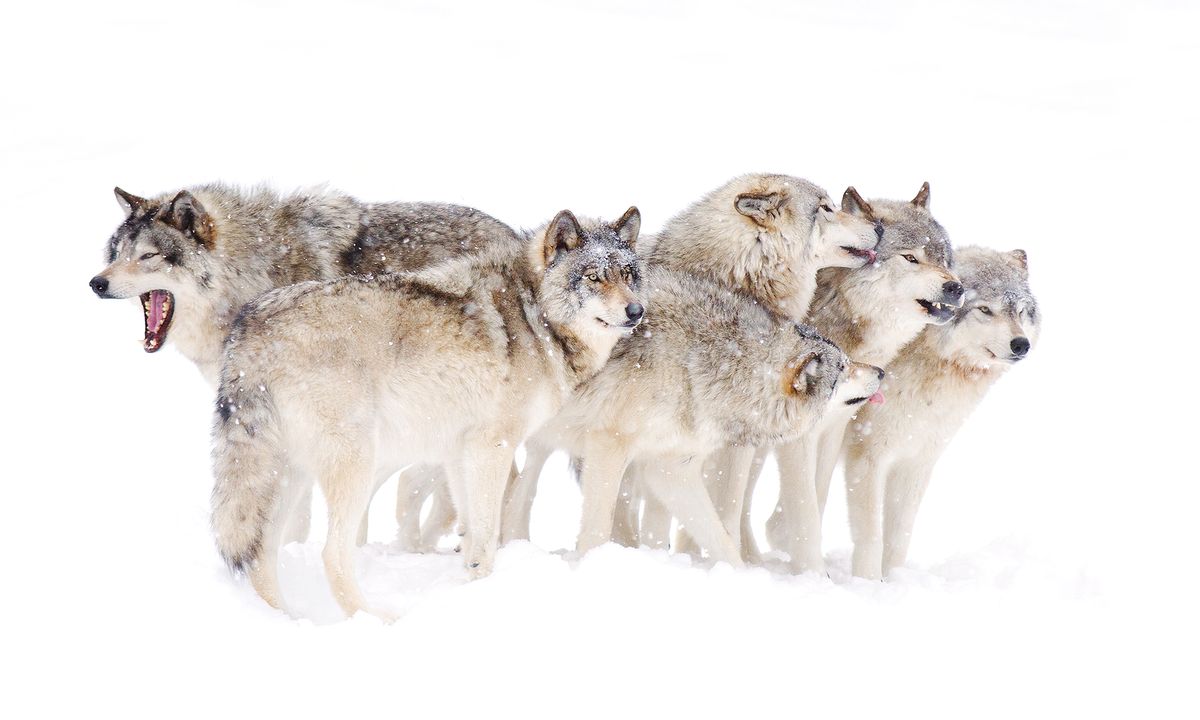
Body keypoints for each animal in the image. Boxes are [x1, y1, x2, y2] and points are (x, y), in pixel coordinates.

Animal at [210, 207, 643, 618]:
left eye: (627, 274)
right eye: (593, 277)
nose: (636, 311)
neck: (536, 315)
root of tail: (248, 329)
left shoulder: (459, 453)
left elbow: (472, 538)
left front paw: (471, 589)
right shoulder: (493, 446)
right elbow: (487, 535)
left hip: (289, 475)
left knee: (260, 554)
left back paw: (289, 618)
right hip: (354, 463)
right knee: (332, 554)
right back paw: (377, 618)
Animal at [548, 266, 884, 565]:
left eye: (846, 359)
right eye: (842, 369)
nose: (881, 371)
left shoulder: (670, 470)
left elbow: (720, 538)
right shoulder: (609, 444)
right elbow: (597, 526)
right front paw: (591, 563)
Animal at [756, 183, 965, 573]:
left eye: (944, 259)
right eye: (911, 258)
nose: (956, 289)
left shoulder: (833, 426)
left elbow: (818, 496)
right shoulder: (801, 434)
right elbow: (806, 511)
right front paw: (813, 574)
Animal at [842, 246, 1040, 579]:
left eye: (1021, 311)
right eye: (985, 310)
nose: (1021, 344)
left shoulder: (916, 461)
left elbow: (899, 537)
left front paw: (895, 581)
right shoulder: (866, 457)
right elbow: (871, 535)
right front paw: (867, 582)